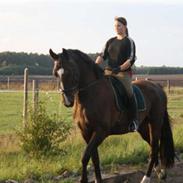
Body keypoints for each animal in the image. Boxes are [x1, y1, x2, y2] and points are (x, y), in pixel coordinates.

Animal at [48, 48, 174, 182]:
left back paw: (146, 178)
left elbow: (85, 156)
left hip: (155, 124)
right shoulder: (86, 132)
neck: (91, 94)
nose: (67, 101)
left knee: (154, 148)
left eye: (71, 72)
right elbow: (94, 158)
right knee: (154, 147)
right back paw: (161, 172)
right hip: (143, 127)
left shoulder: (100, 132)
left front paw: (84, 180)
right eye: (55, 74)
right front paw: (98, 180)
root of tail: (157, 87)